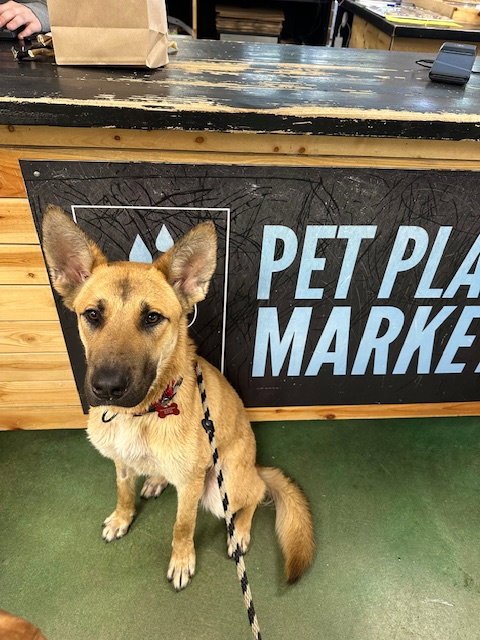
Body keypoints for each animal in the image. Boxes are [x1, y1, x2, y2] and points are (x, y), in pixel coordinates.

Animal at [42, 206, 315, 590]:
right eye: (92, 315)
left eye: (152, 318)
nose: (107, 388)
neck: (142, 414)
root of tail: (254, 466)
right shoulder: (121, 463)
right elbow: (123, 492)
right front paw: (122, 518)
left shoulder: (190, 485)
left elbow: (182, 526)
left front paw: (183, 560)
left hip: (221, 487)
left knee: (256, 494)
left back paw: (240, 532)